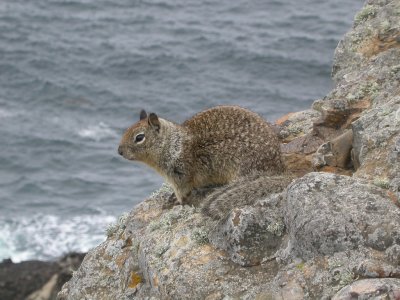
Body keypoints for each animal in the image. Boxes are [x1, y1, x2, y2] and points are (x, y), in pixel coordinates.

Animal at [118, 104, 284, 205]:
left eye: (139, 138)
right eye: (126, 130)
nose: (119, 151)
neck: (172, 144)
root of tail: (277, 166)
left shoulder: (180, 175)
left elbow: (182, 193)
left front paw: (177, 202)